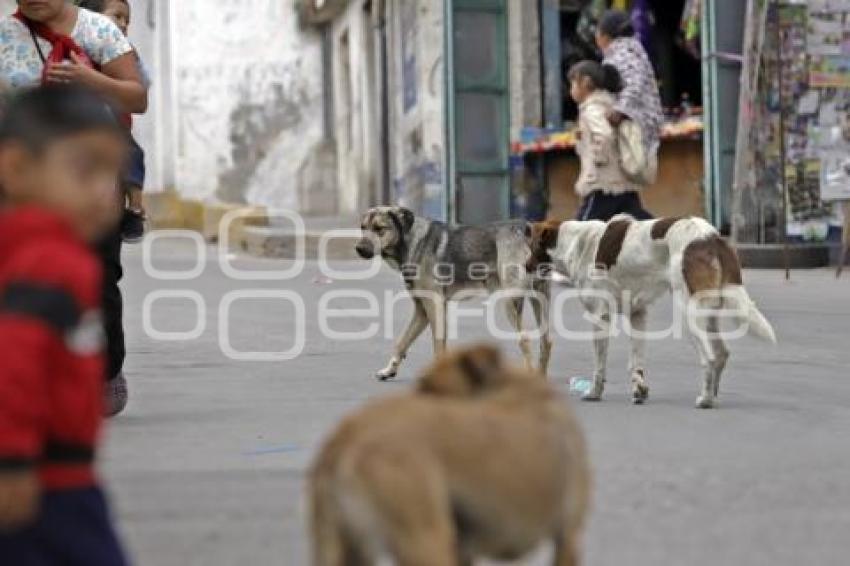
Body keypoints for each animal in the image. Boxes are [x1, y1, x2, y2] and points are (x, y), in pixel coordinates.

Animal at [352, 206, 548, 380]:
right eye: (363, 227)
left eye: (379, 229)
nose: (359, 249)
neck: (412, 242)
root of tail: (526, 228)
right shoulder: (422, 311)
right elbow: (402, 342)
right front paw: (389, 370)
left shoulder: (435, 307)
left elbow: (438, 346)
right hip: (539, 299)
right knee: (547, 341)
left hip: (510, 302)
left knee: (525, 340)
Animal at [524, 216, 776, 408]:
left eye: (532, 245)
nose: (525, 267)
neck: (575, 242)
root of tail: (711, 237)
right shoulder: (638, 314)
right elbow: (636, 361)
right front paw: (639, 390)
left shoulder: (600, 316)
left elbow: (599, 365)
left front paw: (594, 393)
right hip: (708, 313)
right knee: (722, 353)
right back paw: (712, 397)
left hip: (688, 315)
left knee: (710, 357)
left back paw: (704, 400)